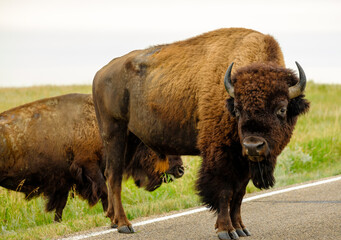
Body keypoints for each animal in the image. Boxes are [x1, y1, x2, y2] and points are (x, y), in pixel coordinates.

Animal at [0, 93, 183, 222]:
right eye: (158, 145)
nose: (180, 170)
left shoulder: (65, 180)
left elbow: (60, 207)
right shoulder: (90, 167)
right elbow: (104, 191)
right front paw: (112, 217)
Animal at [91, 26, 310, 238]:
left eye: (282, 109)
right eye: (237, 109)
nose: (253, 146)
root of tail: (100, 73)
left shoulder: (243, 160)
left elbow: (239, 193)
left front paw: (241, 228)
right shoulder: (220, 154)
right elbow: (224, 191)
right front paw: (226, 230)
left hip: (131, 138)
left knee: (113, 174)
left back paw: (113, 220)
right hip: (114, 132)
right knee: (114, 175)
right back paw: (124, 225)